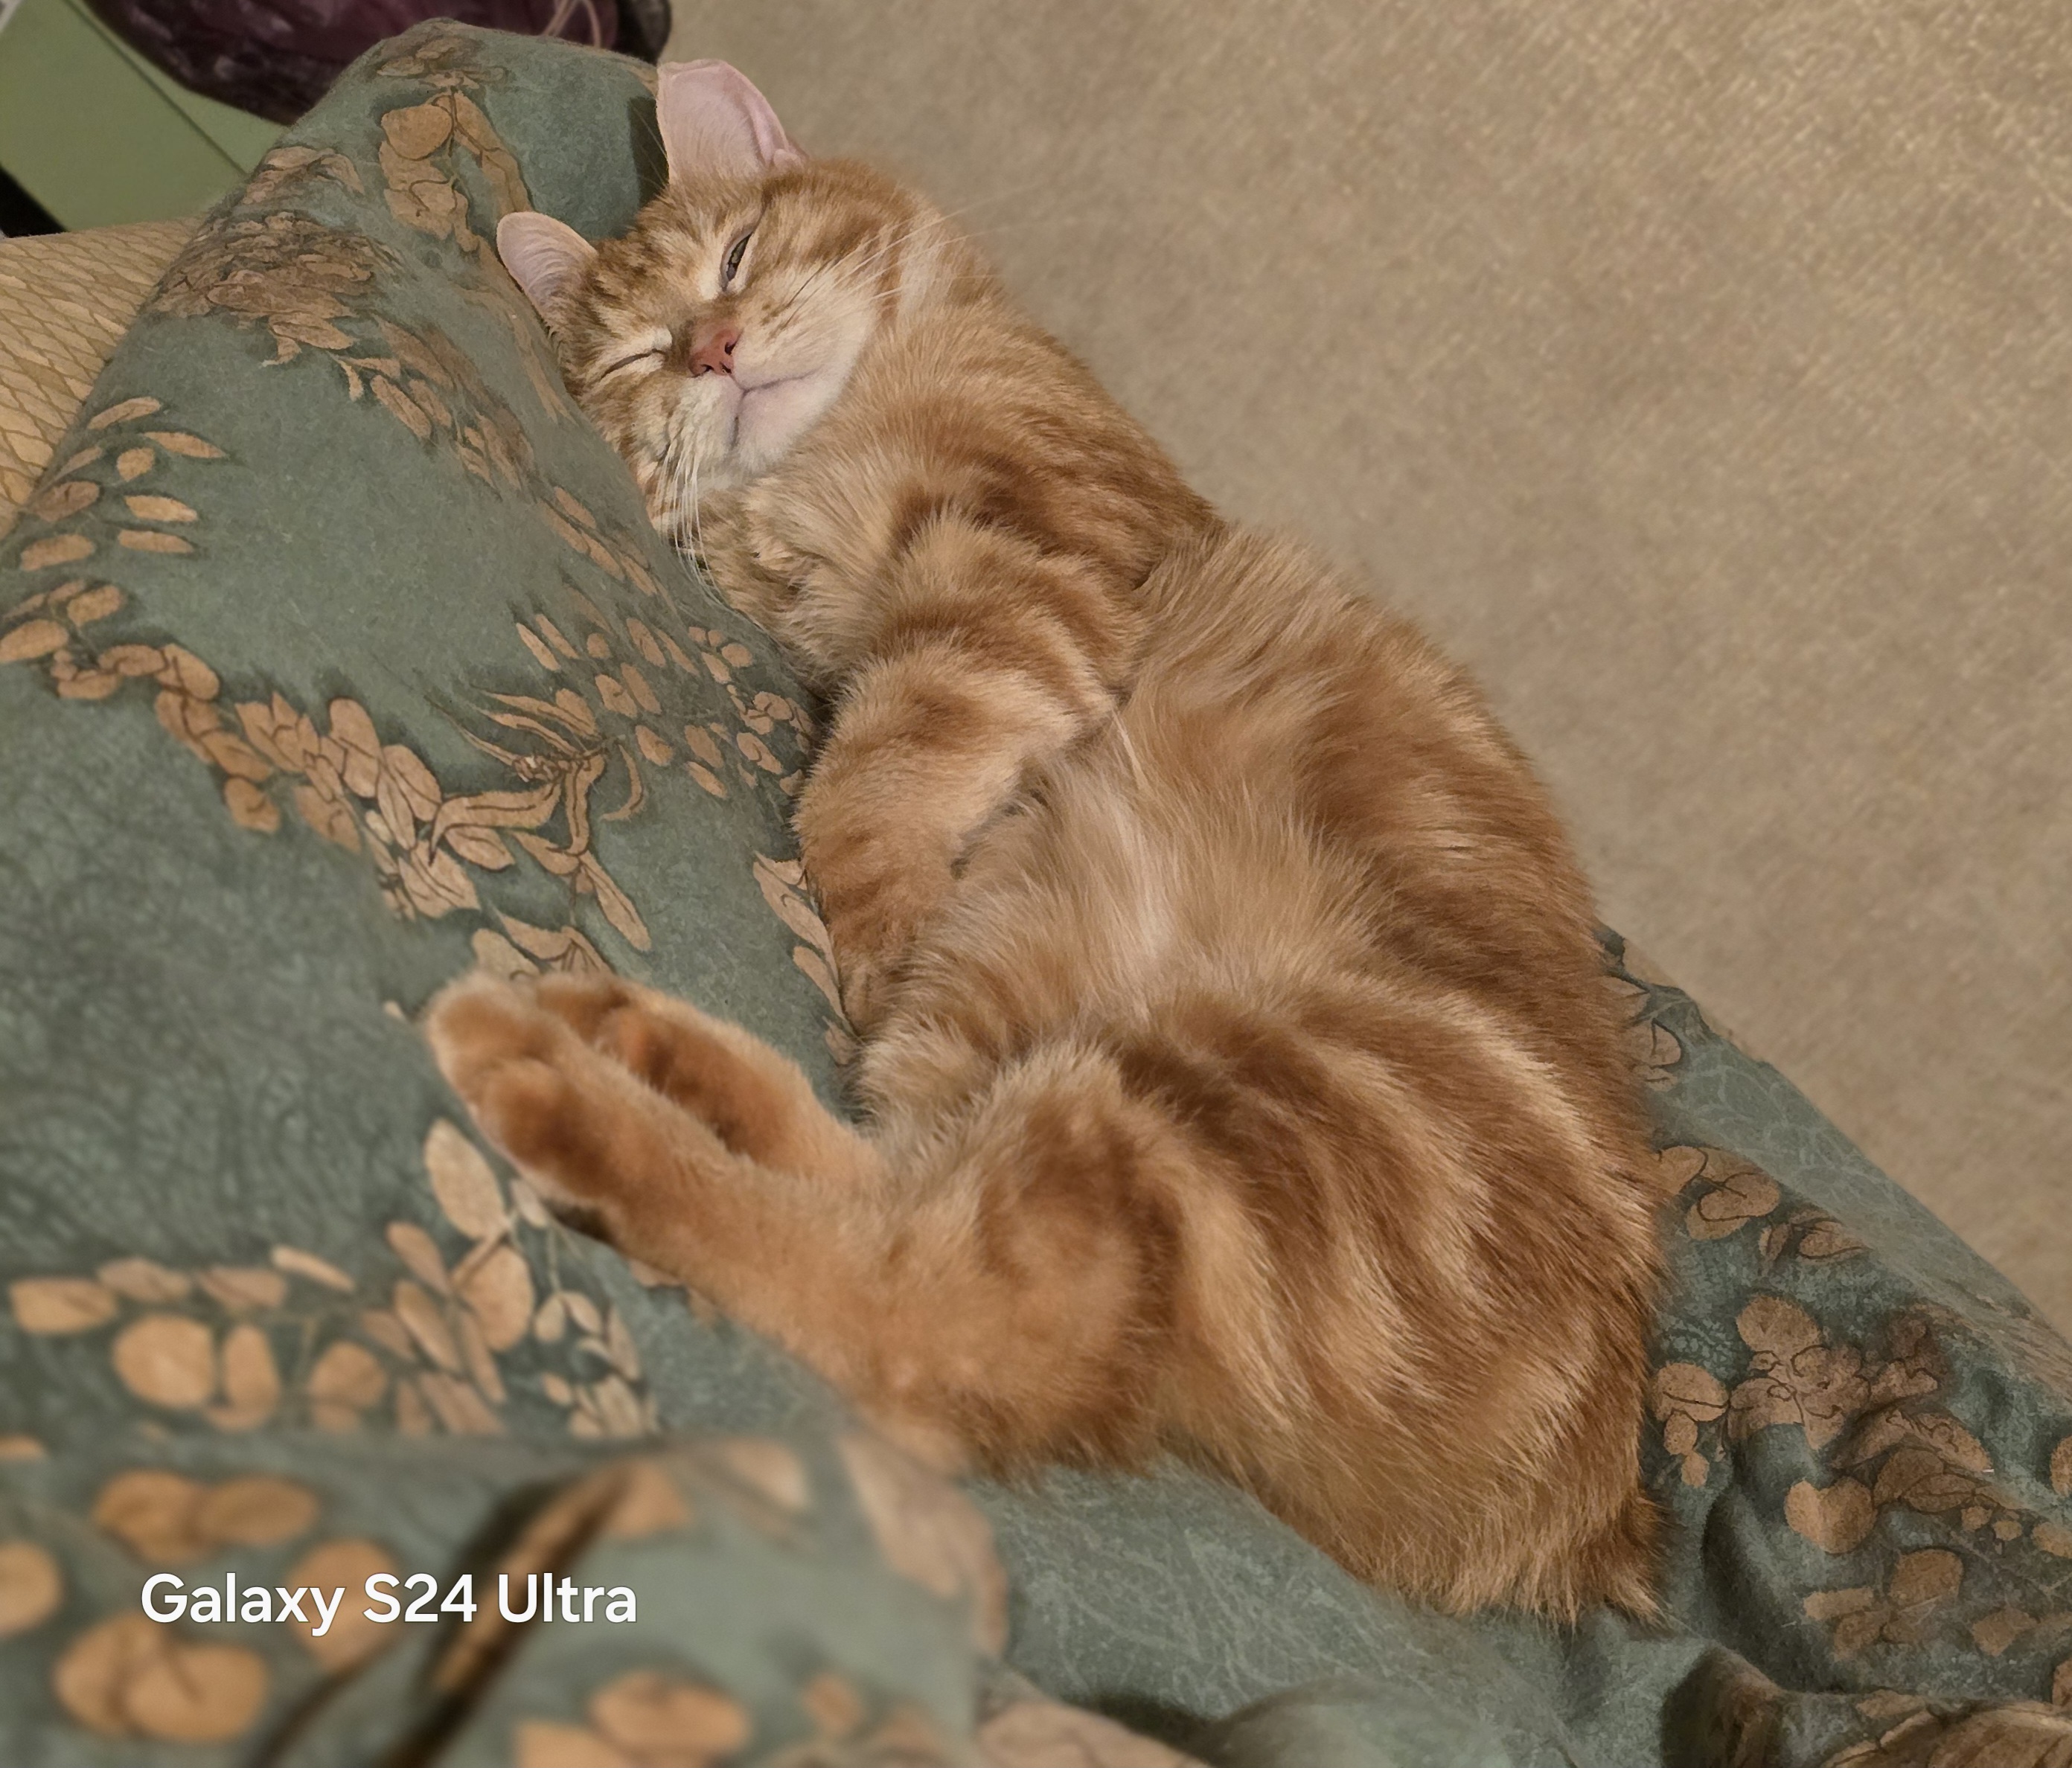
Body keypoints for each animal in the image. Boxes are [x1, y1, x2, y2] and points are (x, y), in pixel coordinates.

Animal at [427, 57, 1666, 1619]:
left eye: (737, 257)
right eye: (636, 357)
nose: (711, 352)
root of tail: (1581, 1523)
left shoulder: (1019, 581)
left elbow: (861, 796)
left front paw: (875, 914)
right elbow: (862, 779)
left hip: (1212, 1104)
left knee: (913, 1314)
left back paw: (556, 1074)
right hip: (1090, 1064)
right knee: (892, 1209)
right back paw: (642, 1041)